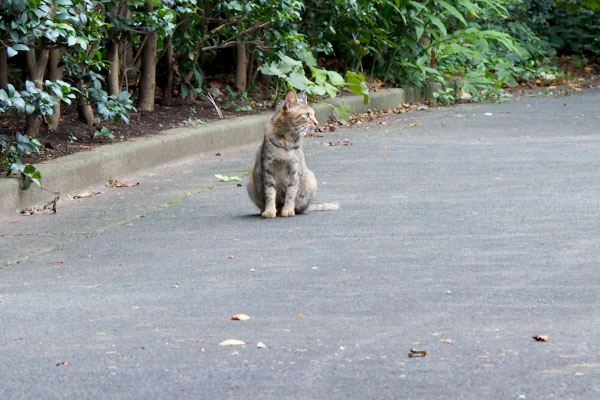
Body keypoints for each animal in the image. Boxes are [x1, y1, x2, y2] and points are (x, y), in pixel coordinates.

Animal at [248, 90, 340, 219]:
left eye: (313, 114)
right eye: (307, 115)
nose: (316, 123)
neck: (286, 139)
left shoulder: (294, 169)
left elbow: (291, 193)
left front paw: (288, 210)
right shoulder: (268, 168)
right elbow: (270, 193)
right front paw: (269, 211)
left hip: (311, 179)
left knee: (300, 207)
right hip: (250, 183)